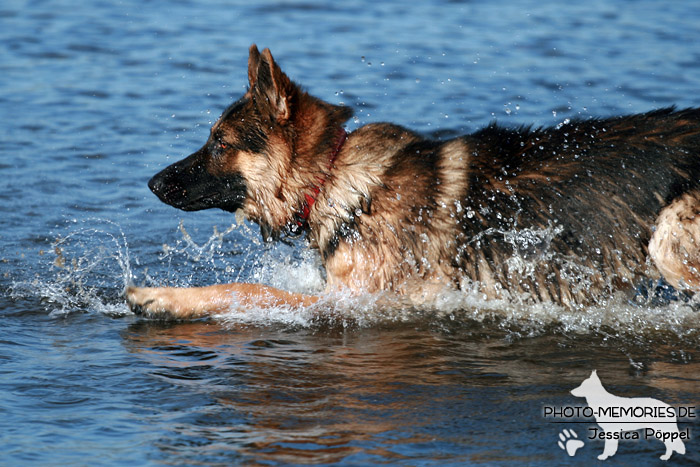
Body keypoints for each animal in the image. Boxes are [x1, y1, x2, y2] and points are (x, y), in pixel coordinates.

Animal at [124, 44, 700, 318]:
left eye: (220, 143)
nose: (150, 183)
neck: (332, 175)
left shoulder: (353, 302)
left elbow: (246, 289)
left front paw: (162, 297)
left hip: (667, 241)